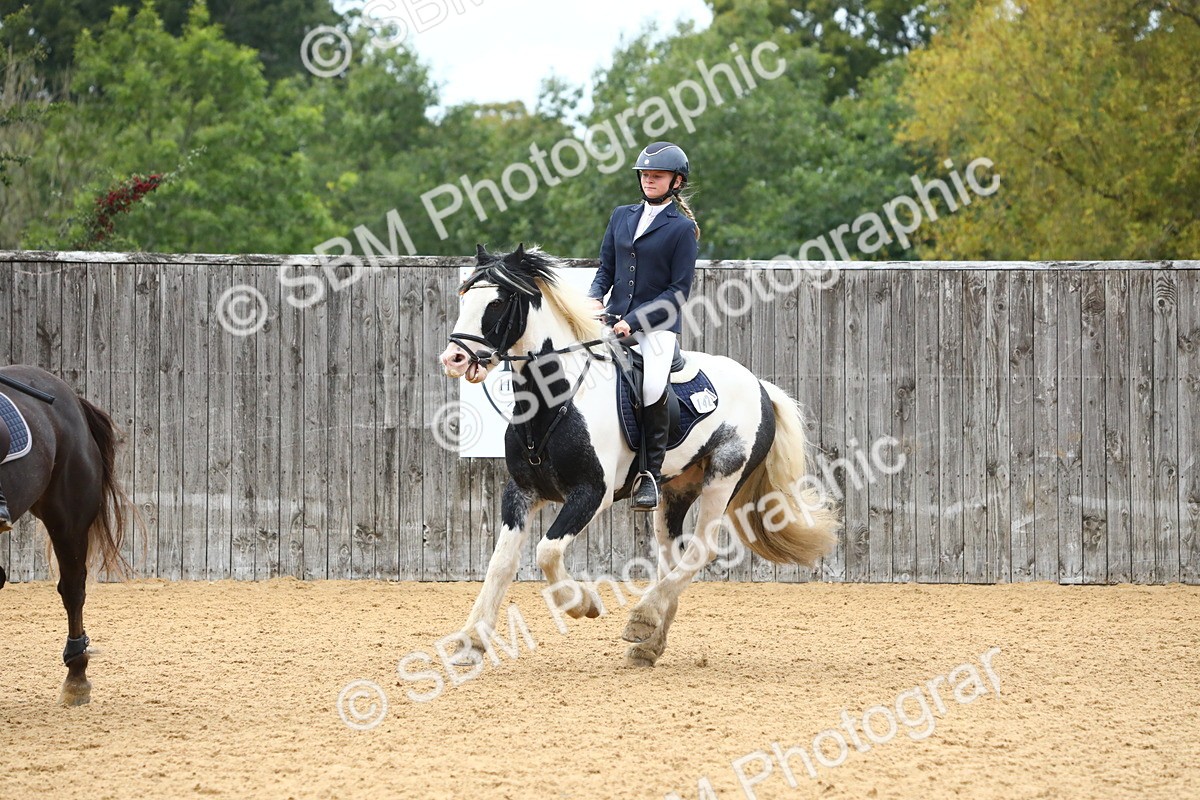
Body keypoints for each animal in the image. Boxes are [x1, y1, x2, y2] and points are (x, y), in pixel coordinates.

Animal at [438, 245, 841, 667]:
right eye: (465, 297)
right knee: (671, 558)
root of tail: (760, 386)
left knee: (701, 550)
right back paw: (649, 640)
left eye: (498, 301)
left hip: (723, 478)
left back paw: (642, 618)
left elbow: (547, 550)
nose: (454, 359)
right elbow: (501, 563)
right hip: (675, 491)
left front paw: (582, 604)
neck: (555, 401)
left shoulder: (591, 494)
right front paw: (471, 641)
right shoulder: (521, 492)